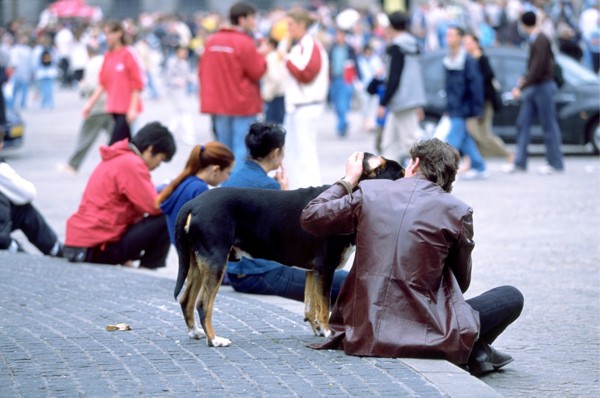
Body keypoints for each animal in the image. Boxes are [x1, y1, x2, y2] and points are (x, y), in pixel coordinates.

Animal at [176, 152, 406, 346]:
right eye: (401, 175)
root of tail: (194, 203)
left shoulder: (313, 271)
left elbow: (310, 306)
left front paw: (318, 330)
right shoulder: (325, 267)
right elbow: (324, 307)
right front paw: (328, 332)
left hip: (198, 262)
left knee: (186, 299)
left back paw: (196, 333)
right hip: (215, 261)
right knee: (203, 304)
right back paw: (214, 340)